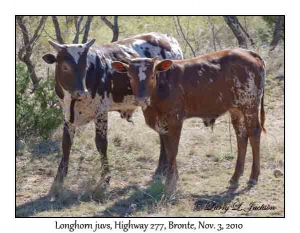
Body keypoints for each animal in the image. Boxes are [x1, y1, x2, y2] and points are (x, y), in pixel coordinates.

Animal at [112, 48, 264, 196]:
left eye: (152, 76)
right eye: (130, 77)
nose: (141, 100)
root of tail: (247, 52)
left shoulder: (175, 120)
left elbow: (173, 150)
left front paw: (170, 184)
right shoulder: (163, 125)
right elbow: (168, 150)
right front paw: (174, 179)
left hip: (249, 104)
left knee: (254, 133)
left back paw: (253, 177)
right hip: (236, 109)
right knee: (241, 136)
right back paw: (235, 178)